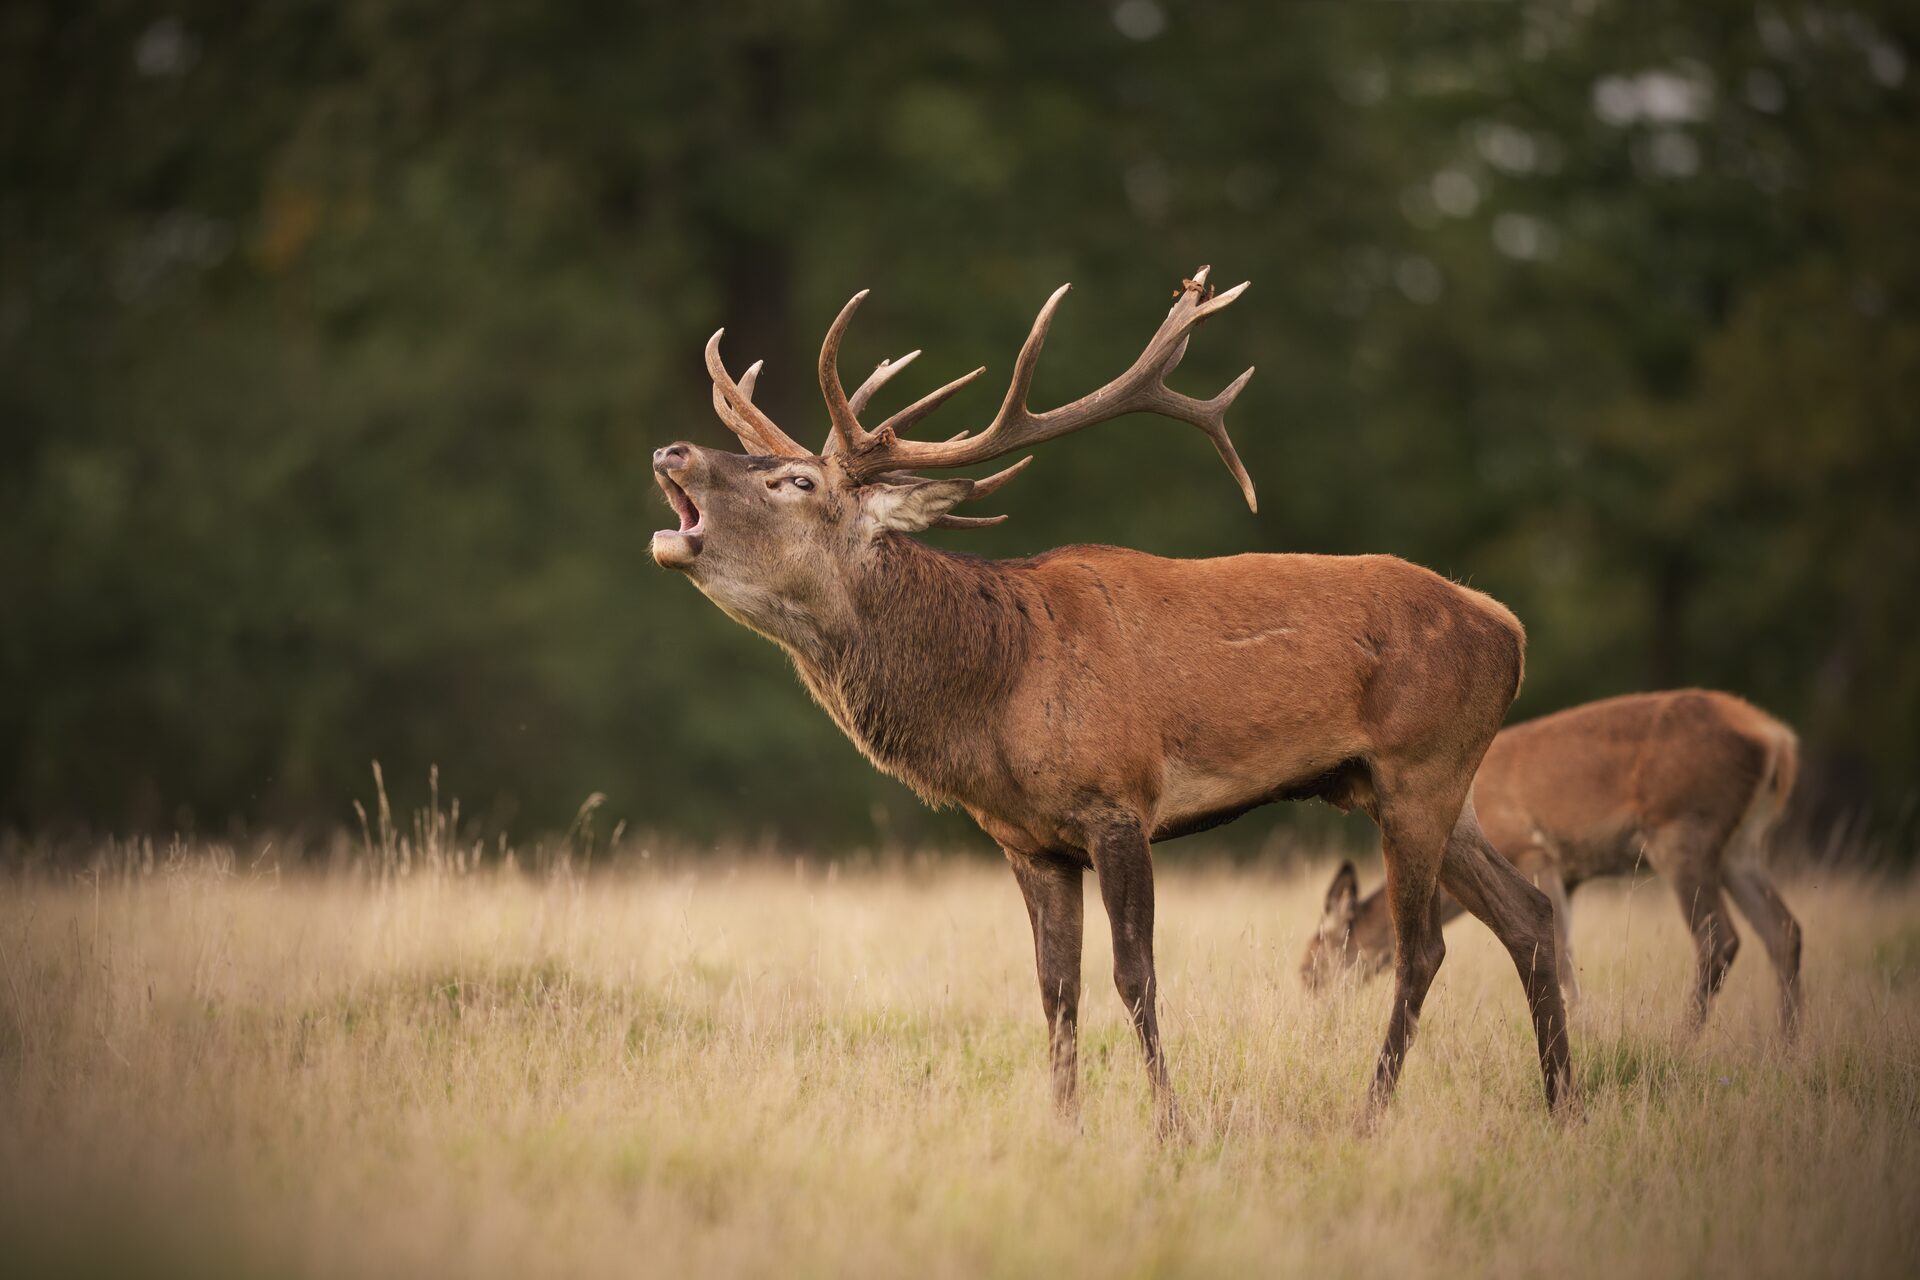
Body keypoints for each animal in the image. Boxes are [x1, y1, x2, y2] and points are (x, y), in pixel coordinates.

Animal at [650, 267, 1573, 1131]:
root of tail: (1511, 630)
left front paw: (1172, 1128)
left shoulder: (1119, 800)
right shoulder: (1029, 841)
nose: (673, 453)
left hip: (1420, 766)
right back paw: (1565, 1100)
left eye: (797, 482)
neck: (996, 688)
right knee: (1528, 917)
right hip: (1422, 786)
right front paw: (1065, 1127)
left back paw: (1372, 1115)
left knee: (1424, 948)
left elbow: (1136, 976)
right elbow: (1056, 988)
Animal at [1302, 689, 1803, 1036]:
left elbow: (1559, 954)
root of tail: (1778, 741)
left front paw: (1581, 1035)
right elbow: (1564, 953)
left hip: (1682, 830)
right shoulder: (1572, 871)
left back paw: (1683, 1040)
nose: (1316, 1016)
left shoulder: (1534, 851)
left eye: (1312, 966)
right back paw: (1788, 1047)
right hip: (1741, 845)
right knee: (1784, 929)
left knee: (1719, 938)